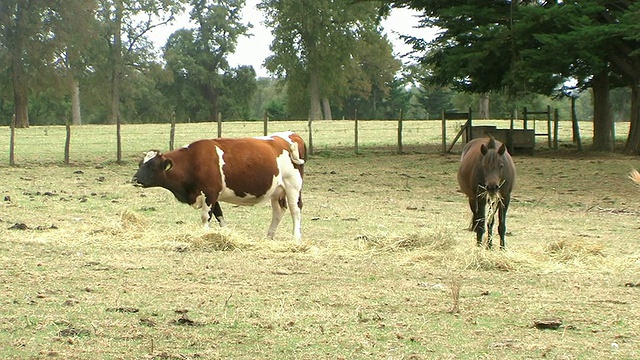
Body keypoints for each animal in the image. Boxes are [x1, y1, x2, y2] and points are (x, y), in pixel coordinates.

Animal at [132, 131, 304, 239]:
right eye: (140, 164)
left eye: (152, 166)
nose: (134, 179)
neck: (192, 161)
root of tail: (290, 135)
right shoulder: (213, 196)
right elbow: (219, 215)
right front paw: (225, 233)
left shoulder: (209, 193)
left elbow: (205, 217)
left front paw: (204, 234)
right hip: (277, 191)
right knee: (278, 211)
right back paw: (269, 236)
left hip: (292, 186)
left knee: (295, 211)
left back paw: (296, 237)